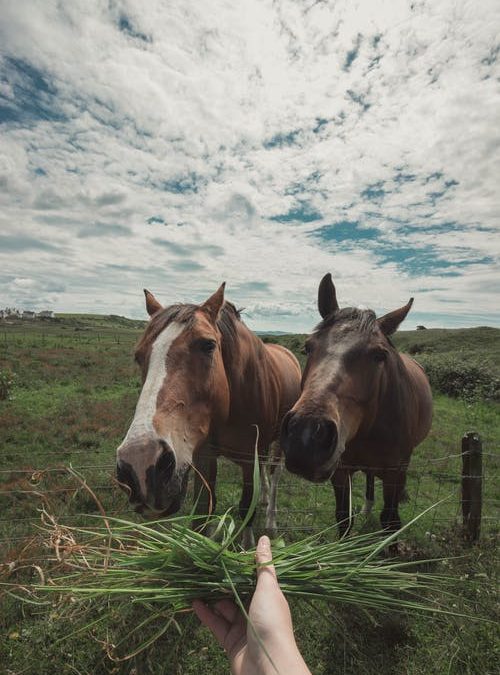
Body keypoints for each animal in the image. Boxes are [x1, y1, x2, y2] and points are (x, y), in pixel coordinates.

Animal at [116, 282, 300, 548]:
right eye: (138, 355)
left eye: (208, 345)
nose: (140, 463)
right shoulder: (204, 456)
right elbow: (204, 513)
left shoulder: (249, 459)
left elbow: (247, 507)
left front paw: (247, 547)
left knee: (274, 474)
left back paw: (271, 519)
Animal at [280, 274, 432, 540]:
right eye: (308, 347)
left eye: (380, 355)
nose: (306, 436)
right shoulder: (341, 472)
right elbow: (344, 519)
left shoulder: (394, 473)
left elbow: (390, 521)